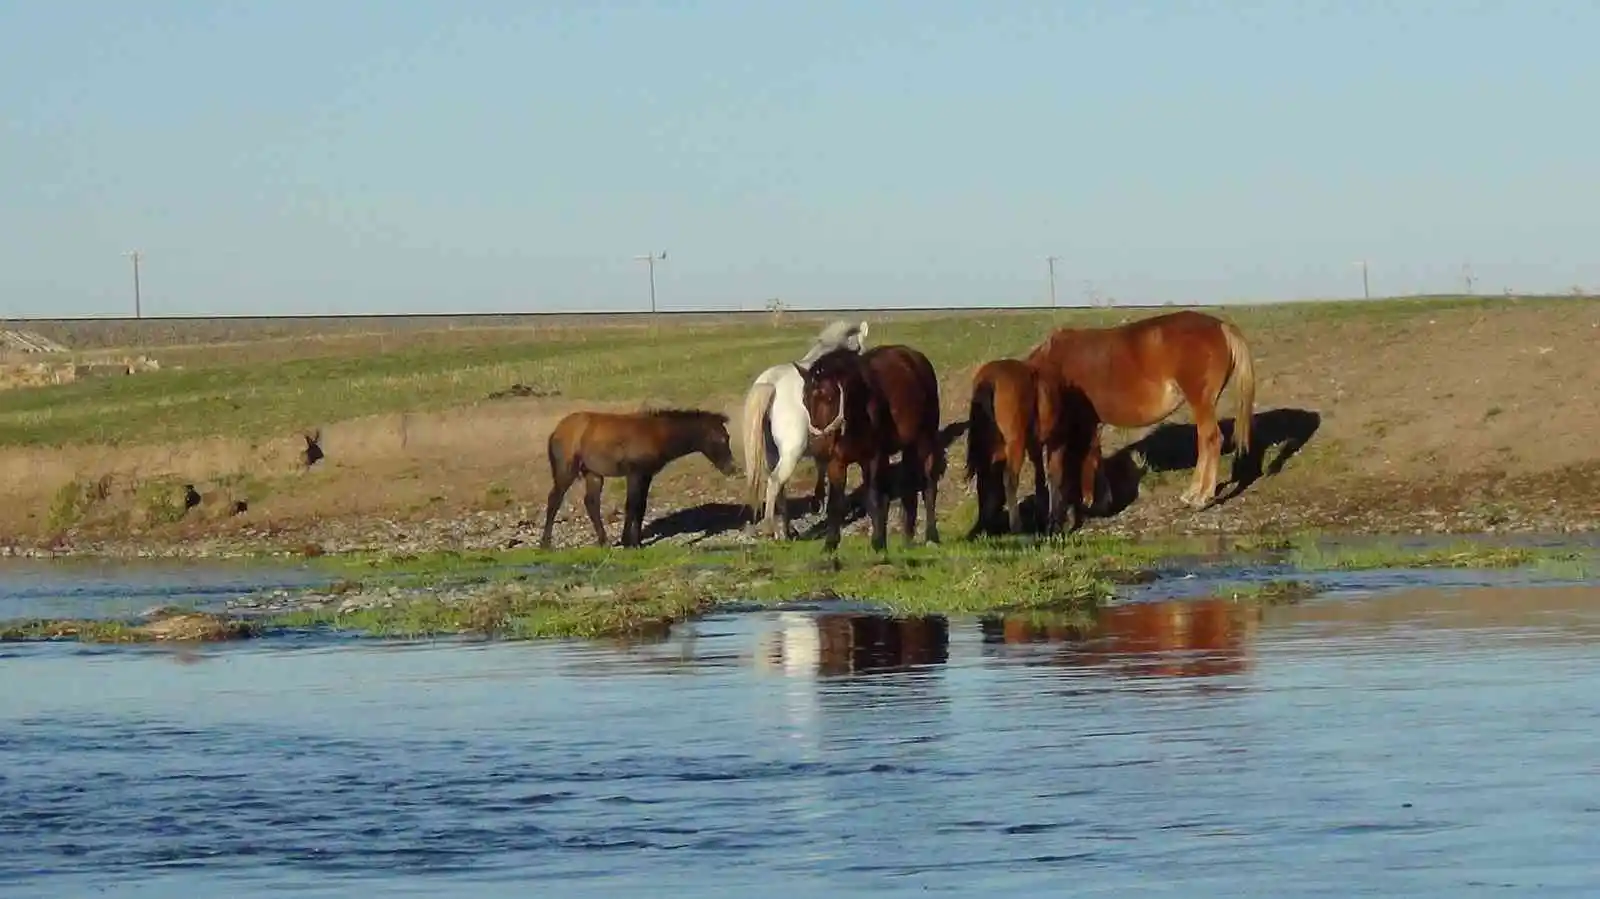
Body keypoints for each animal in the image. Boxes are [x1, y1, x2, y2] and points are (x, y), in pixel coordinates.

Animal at [537, 406, 736, 547]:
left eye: (727, 437)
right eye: (720, 439)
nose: (731, 468)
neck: (657, 434)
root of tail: (556, 431)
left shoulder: (646, 475)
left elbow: (640, 506)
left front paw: (637, 541)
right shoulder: (635, 473)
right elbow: (631, 505)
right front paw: (629, 542)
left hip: (593, 474)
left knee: (591, 503)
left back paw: (604, 542)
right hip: (567, 470)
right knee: (554, 499)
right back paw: (545, 544)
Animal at [739, 318, 870, 534]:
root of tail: (771, 384)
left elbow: (821, 466)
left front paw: (819, 501)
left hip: (773, 453)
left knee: (779, 488)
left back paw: (787, 530)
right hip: (792, 452)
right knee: (775, 482)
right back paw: (771, 529)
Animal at [796, 342, 940, 553]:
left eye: (829, 398)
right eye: (805, 401)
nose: (819, 448)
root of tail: (916, 358)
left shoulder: (873, 458)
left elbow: (874, 499)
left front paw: (878, 543)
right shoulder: (836, 463)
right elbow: (835, 503)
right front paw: (830, 544)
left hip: (925, 441)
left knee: (929, 486)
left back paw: (932, 536)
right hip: (908, 447)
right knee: (908, 488)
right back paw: (907, 539)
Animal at [1024, 310, 1260, 511]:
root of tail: (1221, 326)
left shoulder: (1086, 423)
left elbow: (1089, 457)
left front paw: (1094, 501)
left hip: (1200, 401)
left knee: (1211, 440)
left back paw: (1201, 498)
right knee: (1204, 441)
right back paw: (1192, 493)